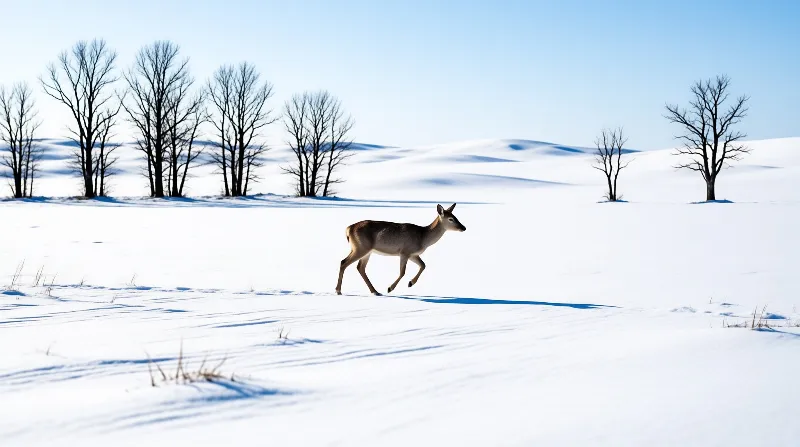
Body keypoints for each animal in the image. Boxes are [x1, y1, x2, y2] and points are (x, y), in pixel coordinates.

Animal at [335, 203, 466, 296]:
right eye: (451, 219)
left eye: (456, 217)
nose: (463, 227)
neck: (423, 237)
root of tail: (348, 228)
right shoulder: (404, 251)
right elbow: (403, 272)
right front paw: (390, 288)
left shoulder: (413, 254)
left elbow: (423, 265)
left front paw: (410, 283)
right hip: (361, 247)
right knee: (344, 262)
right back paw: (338, 290)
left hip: (366, 250)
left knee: (360, 267)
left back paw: (375, 291)